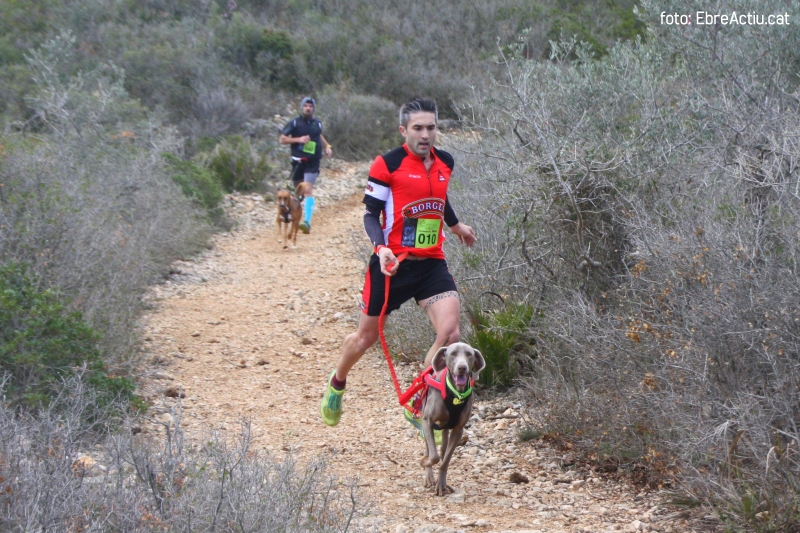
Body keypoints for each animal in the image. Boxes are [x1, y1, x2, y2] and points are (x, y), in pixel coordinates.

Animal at [422, 340, 484, 494]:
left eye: (469, 354)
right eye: (453, 353)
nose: (462, 368)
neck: (456, 394)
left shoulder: (458, 430)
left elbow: (446, 461)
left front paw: (441, 484)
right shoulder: (428, 421)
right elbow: (434, 456)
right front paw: (425, 462)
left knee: (444, 448)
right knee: (429, 447)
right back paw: (429, 476)